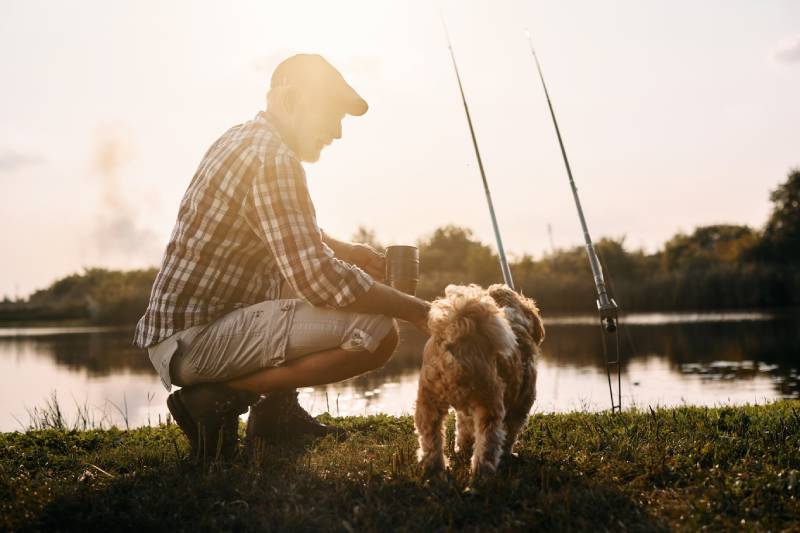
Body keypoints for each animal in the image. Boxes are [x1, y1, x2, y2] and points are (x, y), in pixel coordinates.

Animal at [412, 282, 544, 478]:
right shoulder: (520, 406)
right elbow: (510, 433)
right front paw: (508, 453)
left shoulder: (465, 412)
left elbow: (464, 429)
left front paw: (463, 447)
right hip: (489, 405)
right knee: (488, 443)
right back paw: (483, 474)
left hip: (428, 402)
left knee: (430, 439)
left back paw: (434, 468)